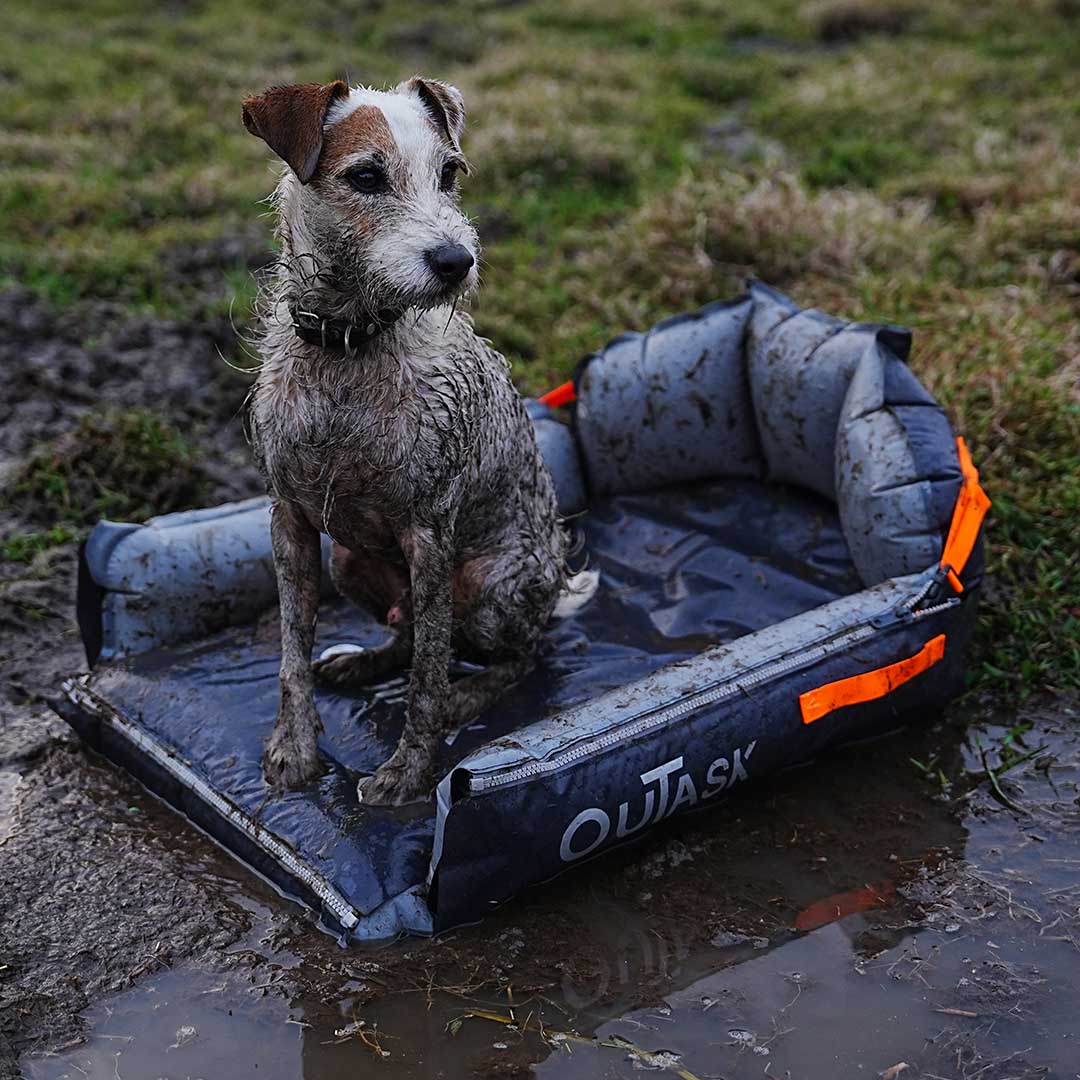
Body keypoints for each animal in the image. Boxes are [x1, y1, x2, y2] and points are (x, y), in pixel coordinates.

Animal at [241, 78, 570, 803]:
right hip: (348, 562)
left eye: (449, 174)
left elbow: (426, 679)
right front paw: (293, 749)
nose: (456, 261)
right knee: (410, 632)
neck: (348, 348)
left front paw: (410, 772)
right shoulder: (290, 522)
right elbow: (290, 654)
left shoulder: (429, 534)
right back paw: (363, 661)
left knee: (514, 655)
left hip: (490, 585)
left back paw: (465, 698)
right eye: (366, 177)